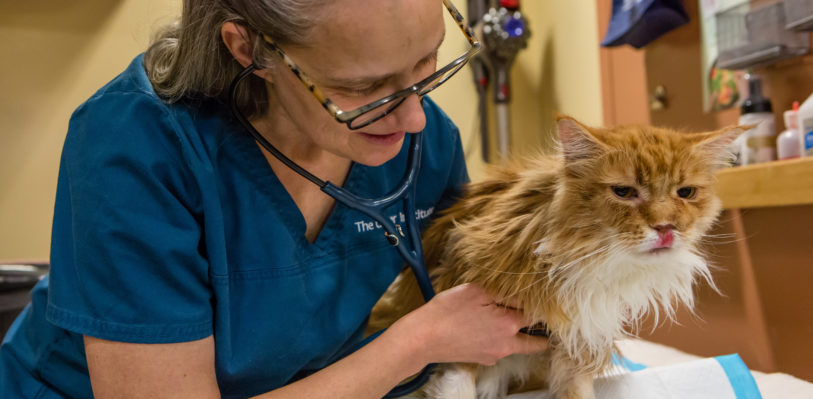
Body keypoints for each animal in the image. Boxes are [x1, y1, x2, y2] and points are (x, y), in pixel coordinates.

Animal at [372, 116, 744, 399]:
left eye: (686, 193)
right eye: (624, 192)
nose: (666, 228)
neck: (583, 257)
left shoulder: (579, 338)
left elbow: (575, 390)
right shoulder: (461, 311)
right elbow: (458, 378)